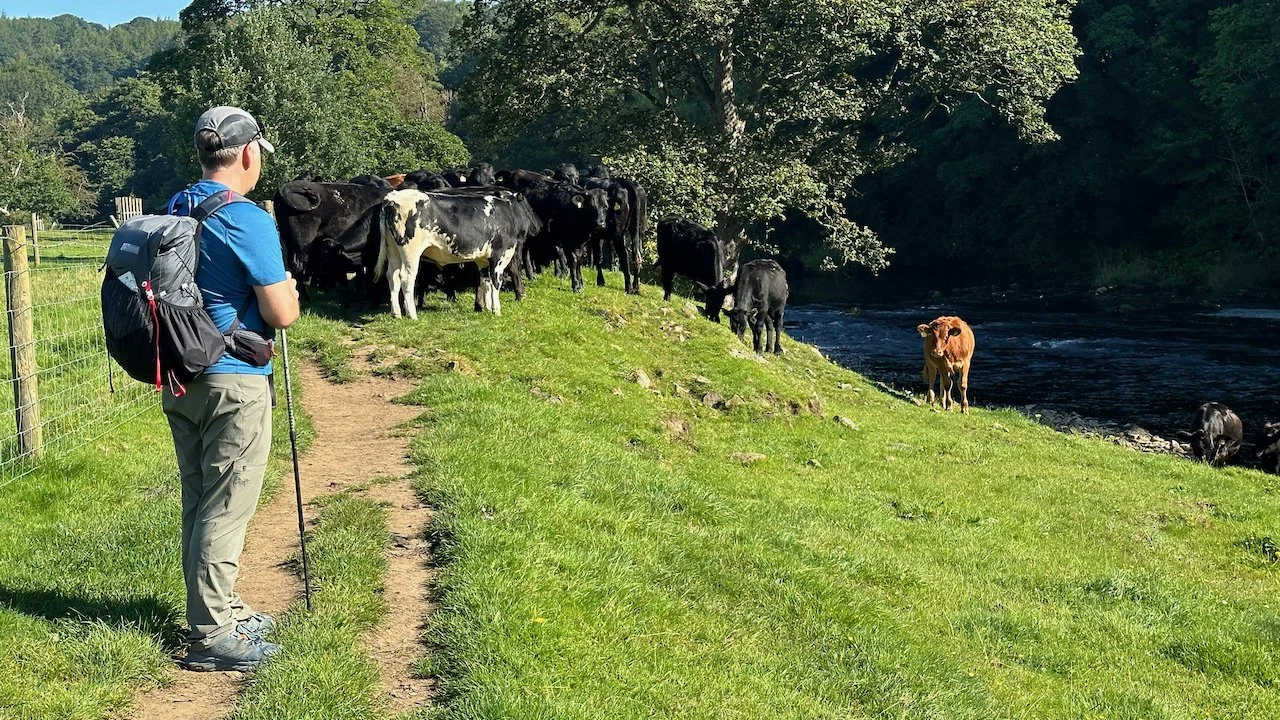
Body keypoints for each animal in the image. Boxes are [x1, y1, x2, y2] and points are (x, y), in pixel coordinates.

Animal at [375, 188, 540, 318]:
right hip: (410, 251)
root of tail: (392, 198)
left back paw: (396, 314)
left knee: (392, 276)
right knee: (407, 278)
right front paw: (496, 310)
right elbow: (495, 282)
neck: (505, 212)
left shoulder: (483, 259)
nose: (537, 226)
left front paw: (487, 309)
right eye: (528, 207)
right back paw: (412, 315)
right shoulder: (499, 254)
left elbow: (485, 282)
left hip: (393, 249)